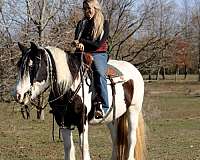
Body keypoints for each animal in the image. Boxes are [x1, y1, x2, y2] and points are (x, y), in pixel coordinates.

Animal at [14, 42, 145, 160]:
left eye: (32, 66)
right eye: (19, 65)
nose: (18, 95)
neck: (69, 86)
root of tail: (135, 70)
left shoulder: (82, 120)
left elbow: (84, 147)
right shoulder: (63, 121)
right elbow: (68, 147)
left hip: (133, 110)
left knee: (131, 138)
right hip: (112, 118)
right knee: (116, 140)